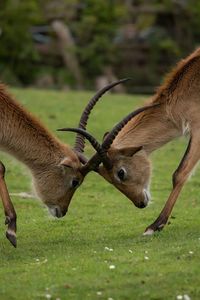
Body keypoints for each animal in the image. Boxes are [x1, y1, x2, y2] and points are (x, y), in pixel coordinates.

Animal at [61, 46, 200, 234]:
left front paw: (154, 226)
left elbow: (180, 173)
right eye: (106, 178)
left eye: (121, 173)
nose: (140, 203)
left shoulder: (197, 128)